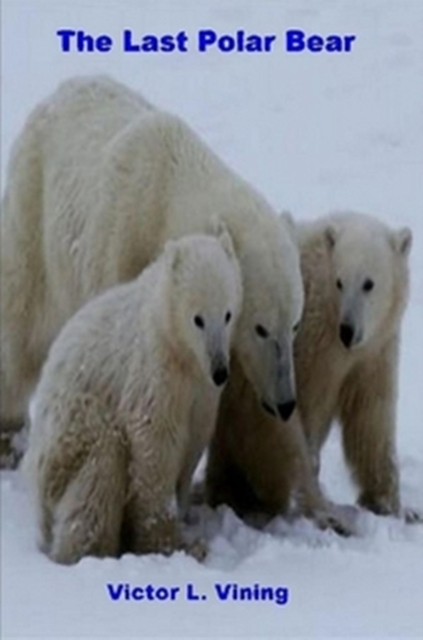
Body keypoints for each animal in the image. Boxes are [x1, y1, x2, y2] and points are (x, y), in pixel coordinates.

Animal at [22, 231, 243, 564]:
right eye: (198, 319)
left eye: (228, 314)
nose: (220, 370)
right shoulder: (154, 370)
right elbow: (154, 441)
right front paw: (173, 543)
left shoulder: (202, 393)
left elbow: (193, 442)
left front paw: (184, 514)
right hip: (65, 441)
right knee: (102, 462)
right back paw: (90, 551)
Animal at [206, 211, 417, 524]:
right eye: (340, 282)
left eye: (368, 284)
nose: (348, 330)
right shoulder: (311, 349)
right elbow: (306, 412)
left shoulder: (375, 350)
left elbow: (371, 418)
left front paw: (395, 507)